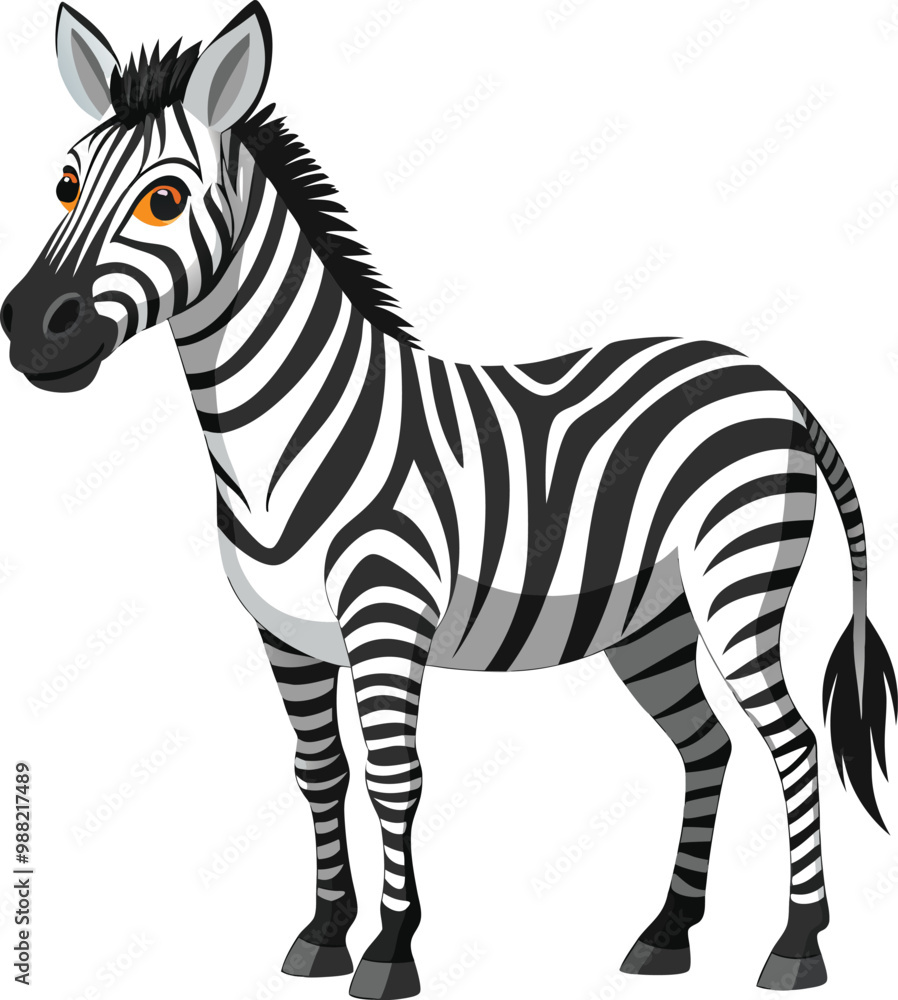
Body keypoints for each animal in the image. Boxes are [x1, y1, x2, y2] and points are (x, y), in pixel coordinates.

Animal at [1, 3, 894, 997]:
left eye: (164, 200)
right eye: (64, 185)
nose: (30, 331)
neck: (285, 434)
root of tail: (772, 381)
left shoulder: (386, 615)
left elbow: (395, 776)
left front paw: (390, 950)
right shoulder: (284, 636)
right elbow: (319, 772)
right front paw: (324, 932)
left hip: (736, 587)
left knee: (792, 744)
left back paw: (798, 943)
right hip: (651, 624)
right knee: (708, 745)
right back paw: (668, 932)